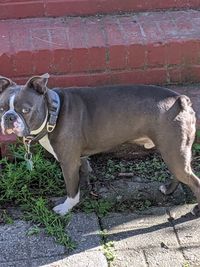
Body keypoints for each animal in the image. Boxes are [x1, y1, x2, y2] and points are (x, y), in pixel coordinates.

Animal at [0, 74, 200, 217]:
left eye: (25, 110)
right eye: (1, 108)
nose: (9, 117)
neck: (53, 112)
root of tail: (180, 99)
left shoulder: (68, 162)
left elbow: (71, 187)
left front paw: (66, 207)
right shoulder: (79, 158)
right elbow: (82, 175)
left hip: (172, 151)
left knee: (194, 181)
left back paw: (195, 209)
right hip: (173, 151)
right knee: (179, 173)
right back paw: (169, 190)